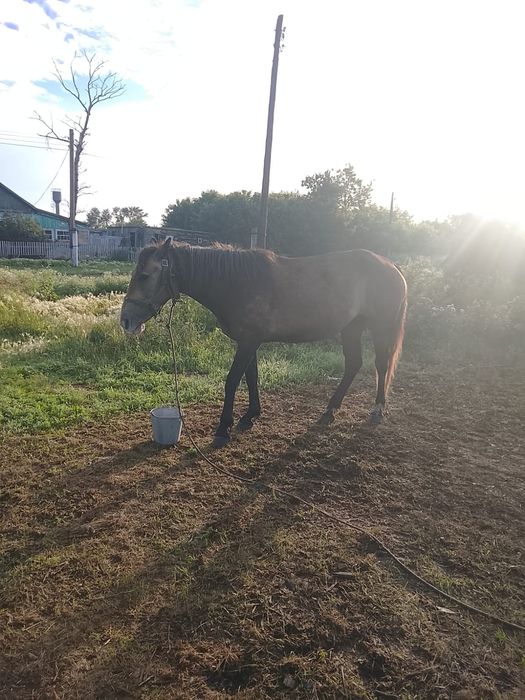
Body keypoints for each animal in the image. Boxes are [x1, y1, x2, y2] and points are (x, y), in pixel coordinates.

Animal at [120, 239, 407, 447]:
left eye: (144, 276)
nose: (125, 321)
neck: (235, 282)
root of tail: (392, 266)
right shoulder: (251, 342)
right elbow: (252, 378)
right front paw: (250, 416)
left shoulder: (248, 342)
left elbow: (232, 381)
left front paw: (223, 428)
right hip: (351, 328)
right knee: (353, 364)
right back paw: (329, 411)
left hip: (381, 328)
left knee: (381, 366)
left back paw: (377, 410)